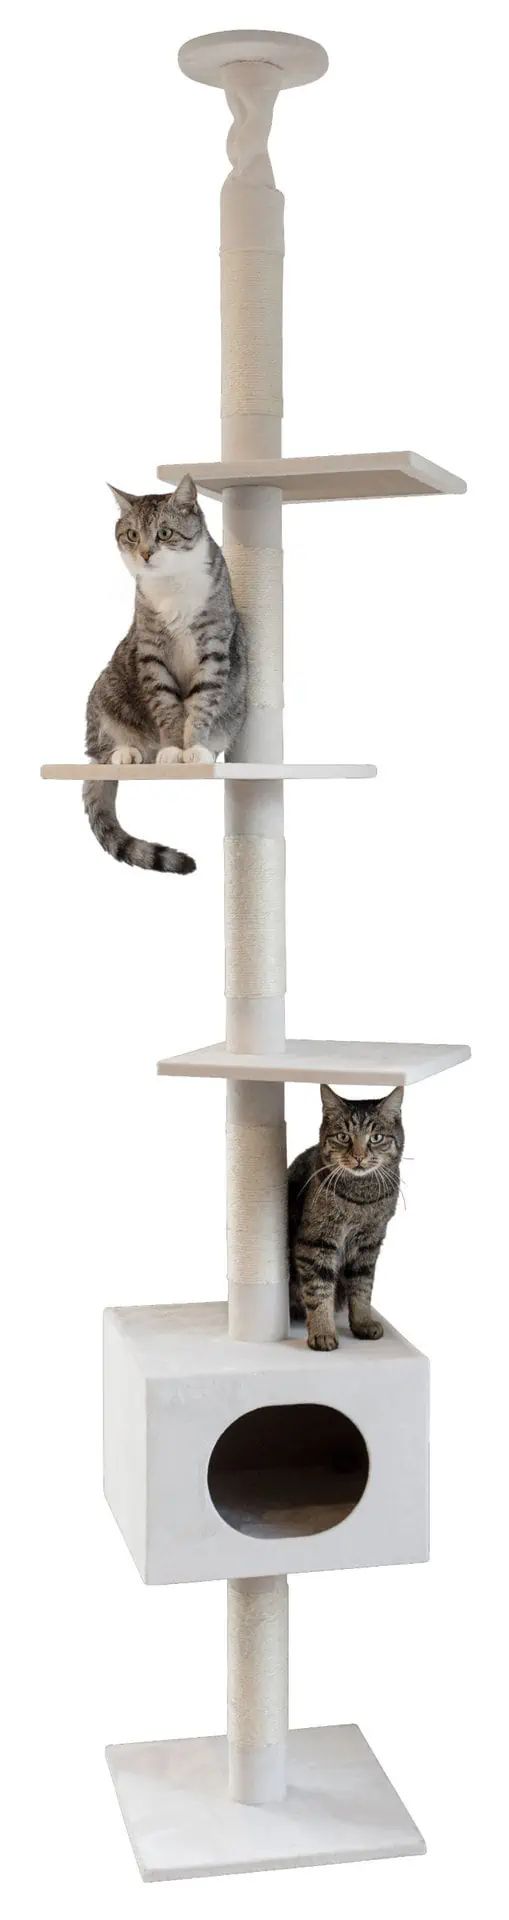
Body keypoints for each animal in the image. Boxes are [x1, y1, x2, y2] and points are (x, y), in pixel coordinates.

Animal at [83, 475, 247, 872]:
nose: (145, 553)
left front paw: (195, 749)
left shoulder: (214, 648)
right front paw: (174, 749)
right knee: (98, 749)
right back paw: (128, 752)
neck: (173, 585)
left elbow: (202, 703)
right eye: (131, 535)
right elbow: (167, 706)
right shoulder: (151, 653)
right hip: (105, 691)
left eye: (164, 533)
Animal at [288, 1083, 404, 1350]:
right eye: (343, 1137)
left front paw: (362, 1323)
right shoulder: (316, 1242)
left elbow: (362, 1287)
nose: (359, 1156)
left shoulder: (370, 1242)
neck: (360, 1198)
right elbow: (319, 1289)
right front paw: (322, 1331)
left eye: (376, 1137)